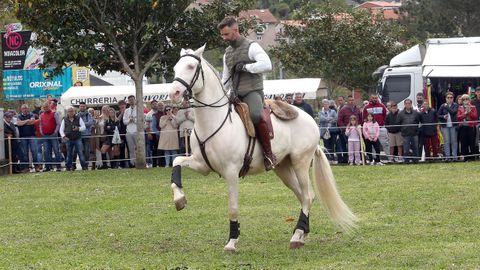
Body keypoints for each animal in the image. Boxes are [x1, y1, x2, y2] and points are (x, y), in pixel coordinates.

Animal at [169, 45, 356, 252]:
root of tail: (309, 118)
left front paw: (232, 241)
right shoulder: (202, 165)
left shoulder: (231, 172)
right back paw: (302, 233)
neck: (214, 121)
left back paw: (297, 236)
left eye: (191, 66)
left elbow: (232, 207)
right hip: (283, 168)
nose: (174, 93)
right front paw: (179, 199)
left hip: (300, 163)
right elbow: (176, 162)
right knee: (306, 196)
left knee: (307, 196)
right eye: (175, 68)